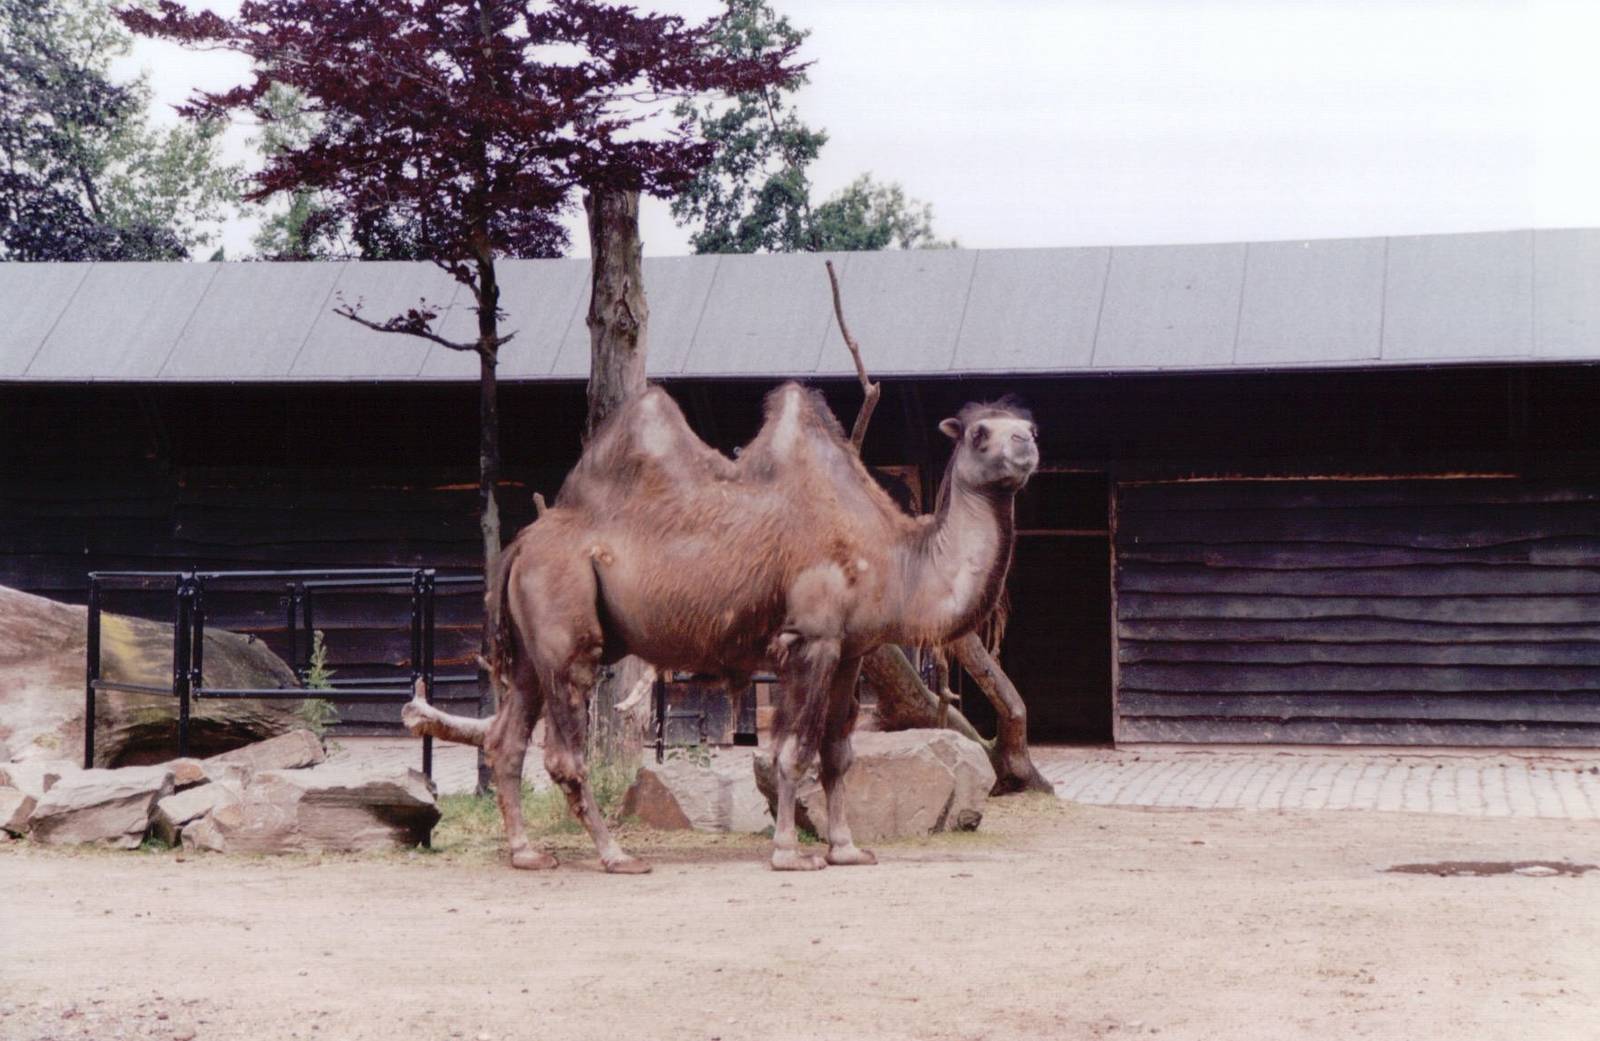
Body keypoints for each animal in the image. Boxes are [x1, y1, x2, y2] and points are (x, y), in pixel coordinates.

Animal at [404, 381, 1039, 872]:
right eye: (981, 433)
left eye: (1026, 424)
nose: (1028, 445)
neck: (893, 556)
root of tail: (518, 547)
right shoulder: (809, 641)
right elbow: (795, 752)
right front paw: (789, 853)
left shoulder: (852, 650)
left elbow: (839, 754)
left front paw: (847, 849)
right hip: (565, 630)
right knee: (565, 750)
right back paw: (617, 856)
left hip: (533, 649)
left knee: (505, 740)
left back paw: (527, 853)